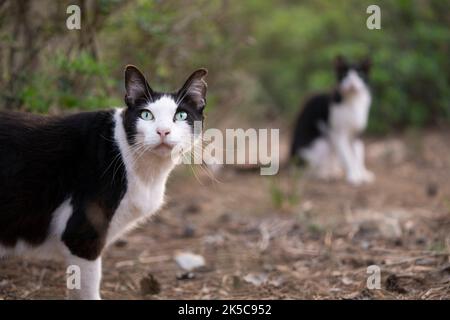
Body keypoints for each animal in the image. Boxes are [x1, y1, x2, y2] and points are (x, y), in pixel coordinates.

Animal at [290, 55, 374, 185]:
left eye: (360, 74)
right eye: (345, 75)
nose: (352, 83)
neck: (353, 102)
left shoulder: (357, 134)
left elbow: (359, 153)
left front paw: (363, 174)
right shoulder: (338, 134)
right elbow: (347, 156)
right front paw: (354, 176)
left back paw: (334, 170)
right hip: (321, 143)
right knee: (309, 169)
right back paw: (325, 174)